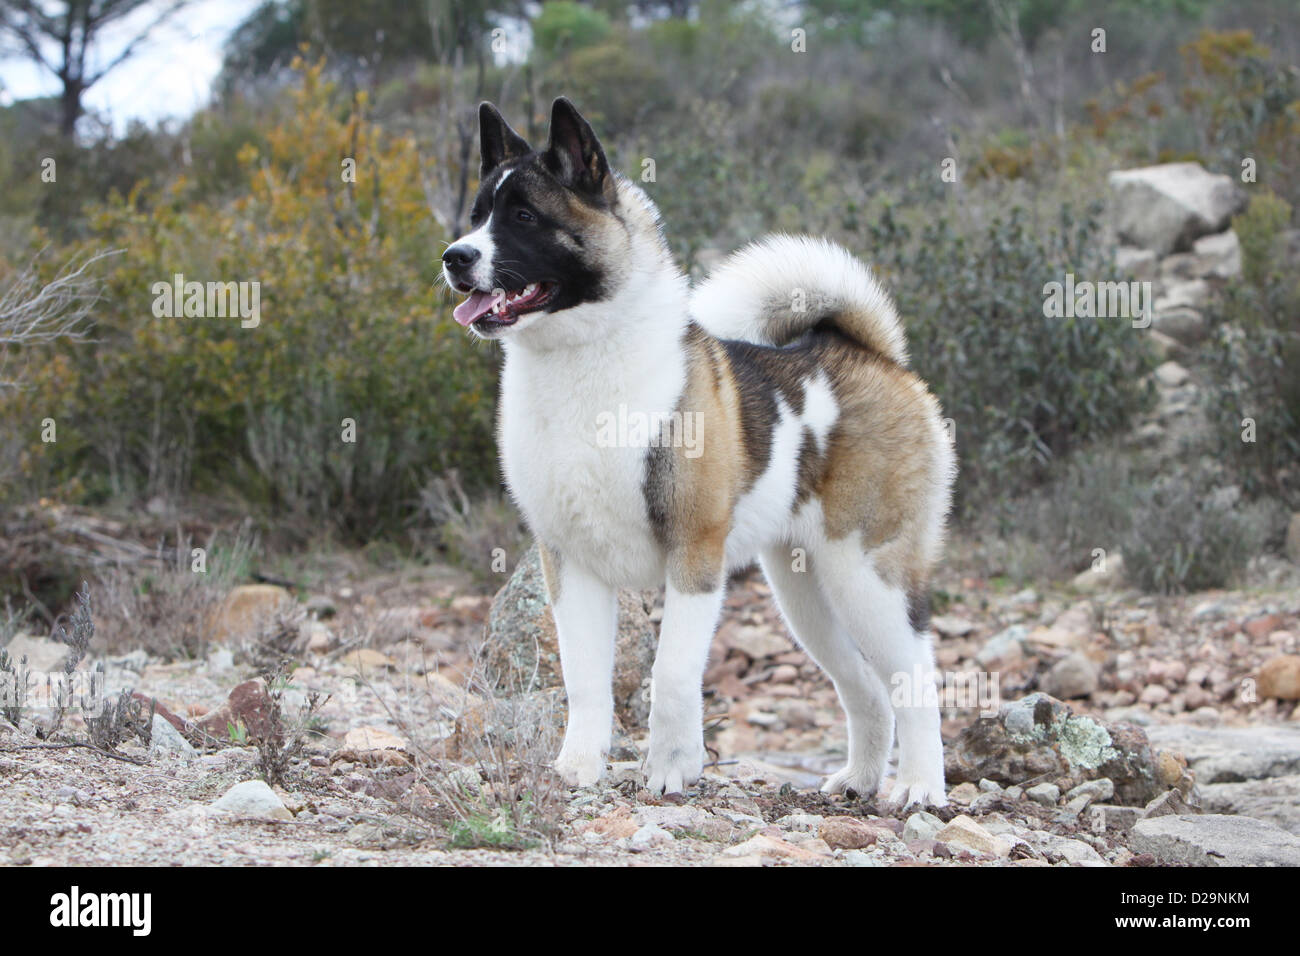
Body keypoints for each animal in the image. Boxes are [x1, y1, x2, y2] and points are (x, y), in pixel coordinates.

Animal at [439, 97, 956, 806]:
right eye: (476, 215)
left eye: (523, 217)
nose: (453, 256)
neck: (581, 359)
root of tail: (869, 353)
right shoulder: (570, 564)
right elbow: (585, 682)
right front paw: (580, 769)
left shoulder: (695, 555)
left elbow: (672, 676)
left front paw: (670, 769)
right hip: (805, 594)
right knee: (865, 686)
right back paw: (858, 778)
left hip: (868, 578)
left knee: (916, 678)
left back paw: (921, 787)